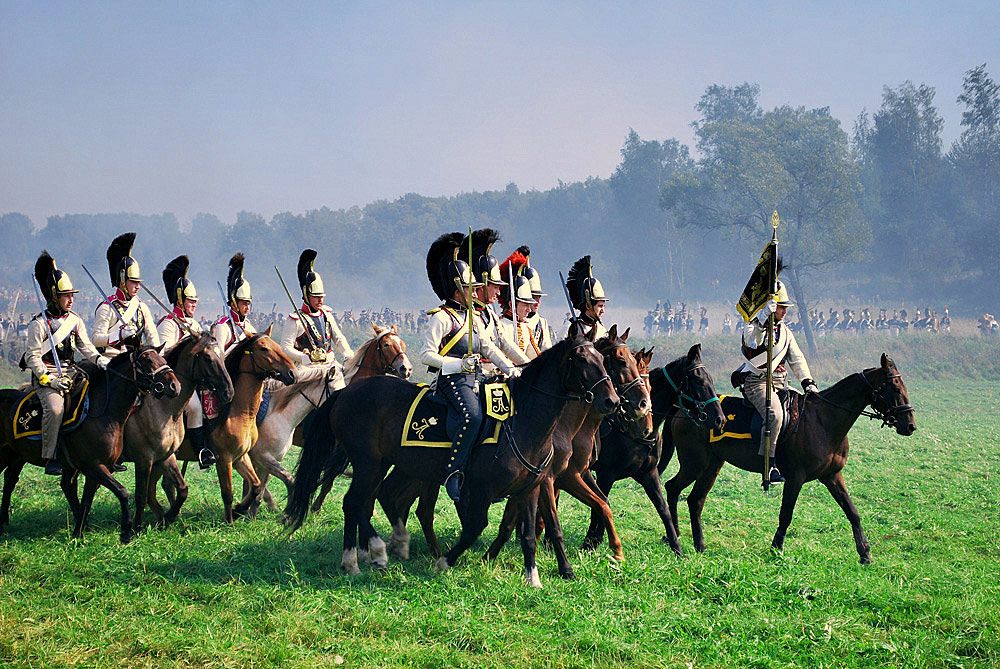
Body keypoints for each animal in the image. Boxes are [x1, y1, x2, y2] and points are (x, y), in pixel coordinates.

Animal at [0, 344, 180, 544]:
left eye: (163, 359)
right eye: (147, 361)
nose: (174, 386)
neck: (103, 413)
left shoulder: (98, 468)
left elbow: (88, 499)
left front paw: (78, 534)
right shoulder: (94, 465)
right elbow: (123, 492)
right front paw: (126, 532)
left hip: (17, 455)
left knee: (13, 480)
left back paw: (5, 522)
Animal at [121, 334, 234, 532]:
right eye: (207, 358)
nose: (228, 392)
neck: (165, 410)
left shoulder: (165, 457)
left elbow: (181, 489)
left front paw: (169, 517)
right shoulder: (143, 459)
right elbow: (141, 495)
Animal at [150, 332, 294, 524]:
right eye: (264, 348)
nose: (292, 373)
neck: (238, 412)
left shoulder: (241, 457)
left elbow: (255, 486)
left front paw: (239, 509)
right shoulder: (224, 460)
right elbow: (228, 493)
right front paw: (230, 521)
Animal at [282, 334, 620, 584]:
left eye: (603, 360)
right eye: (581, 360)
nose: (612, 401)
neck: (522, 421)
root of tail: (346, 393)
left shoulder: (530, 488)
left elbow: (528, 534)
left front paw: (533, 577)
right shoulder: (482, 489)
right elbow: (475, 526)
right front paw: (445, 561)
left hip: (381, 465)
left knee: (366, 502)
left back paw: (376, 550)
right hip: (368, 463)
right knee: (354, 502)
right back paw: (363, 556)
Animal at [664, 352, 916, 560]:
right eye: (894, 387)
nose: (910, 425)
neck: (823, 420)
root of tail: (684, 409)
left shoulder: (832, 476)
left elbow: (853, 512)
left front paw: (864, 553)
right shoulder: (795, 478)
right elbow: (786, 514)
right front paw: (776, 548)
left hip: (711, 466)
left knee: (695, 500)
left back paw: (698, 544)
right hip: (694, 464)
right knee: (672, 488)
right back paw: (673, 537)